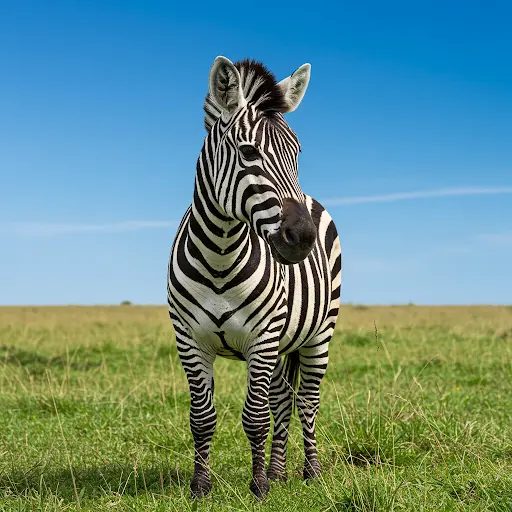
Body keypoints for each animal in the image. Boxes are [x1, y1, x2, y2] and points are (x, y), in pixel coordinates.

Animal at [168, 57, 342, 500]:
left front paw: (258, 485)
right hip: (283, 343)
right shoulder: (189, 341)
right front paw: (201, 485)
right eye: (248, 152)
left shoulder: (262, 338)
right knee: (282, 398)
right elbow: (202, 417)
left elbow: (254, 416)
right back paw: (279, 471)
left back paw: (309, 471)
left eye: (297, 153)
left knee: (306, 401)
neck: (221, 255)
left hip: (319, 333)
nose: (302, 239)